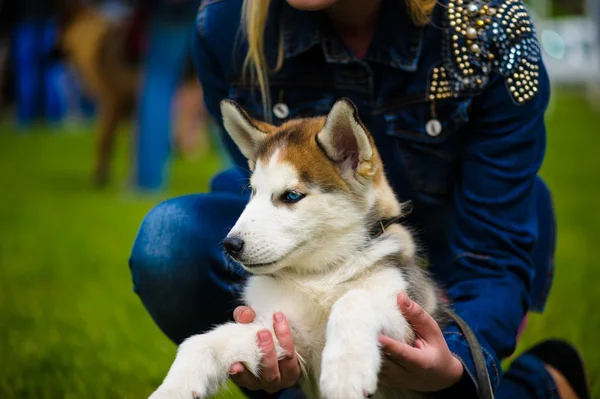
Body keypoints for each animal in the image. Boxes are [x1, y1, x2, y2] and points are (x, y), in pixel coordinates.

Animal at [150, 97, 450, 399]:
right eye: (252, 192)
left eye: (291, 196)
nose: (230, 245)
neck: (320, 276)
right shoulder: (280, 332)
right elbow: (202, 343)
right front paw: (172, 388)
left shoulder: (408, 322)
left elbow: (354, 299)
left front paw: (345, 371)